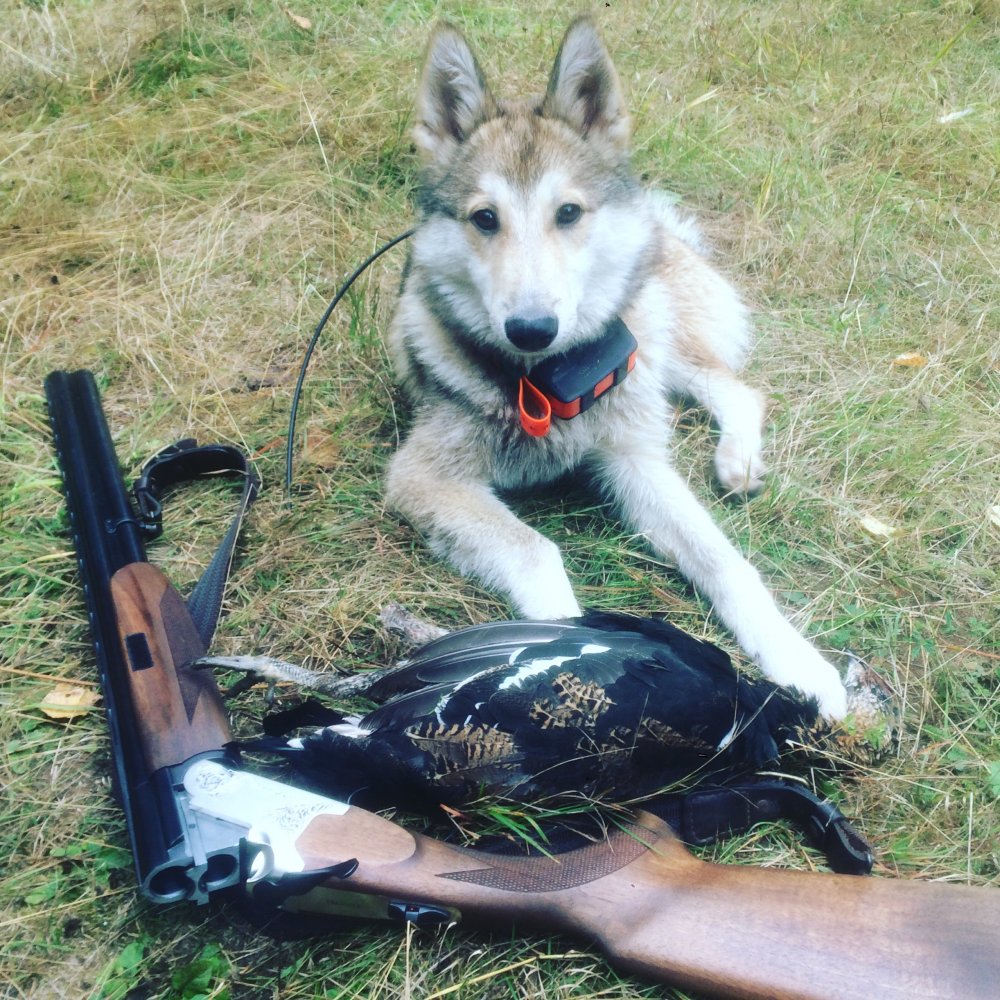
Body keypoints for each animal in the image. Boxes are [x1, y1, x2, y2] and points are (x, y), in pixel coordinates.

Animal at [384, 17, 848, 718]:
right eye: (484, 219)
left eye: (569, 213)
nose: (531, 328)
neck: (542, 383)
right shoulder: (421, 478)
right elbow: (537, 551)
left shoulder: (634, 460)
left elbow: (724, 560)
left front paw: (797, 658)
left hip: (652, 334)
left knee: (736, 389)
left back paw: (736, 459)